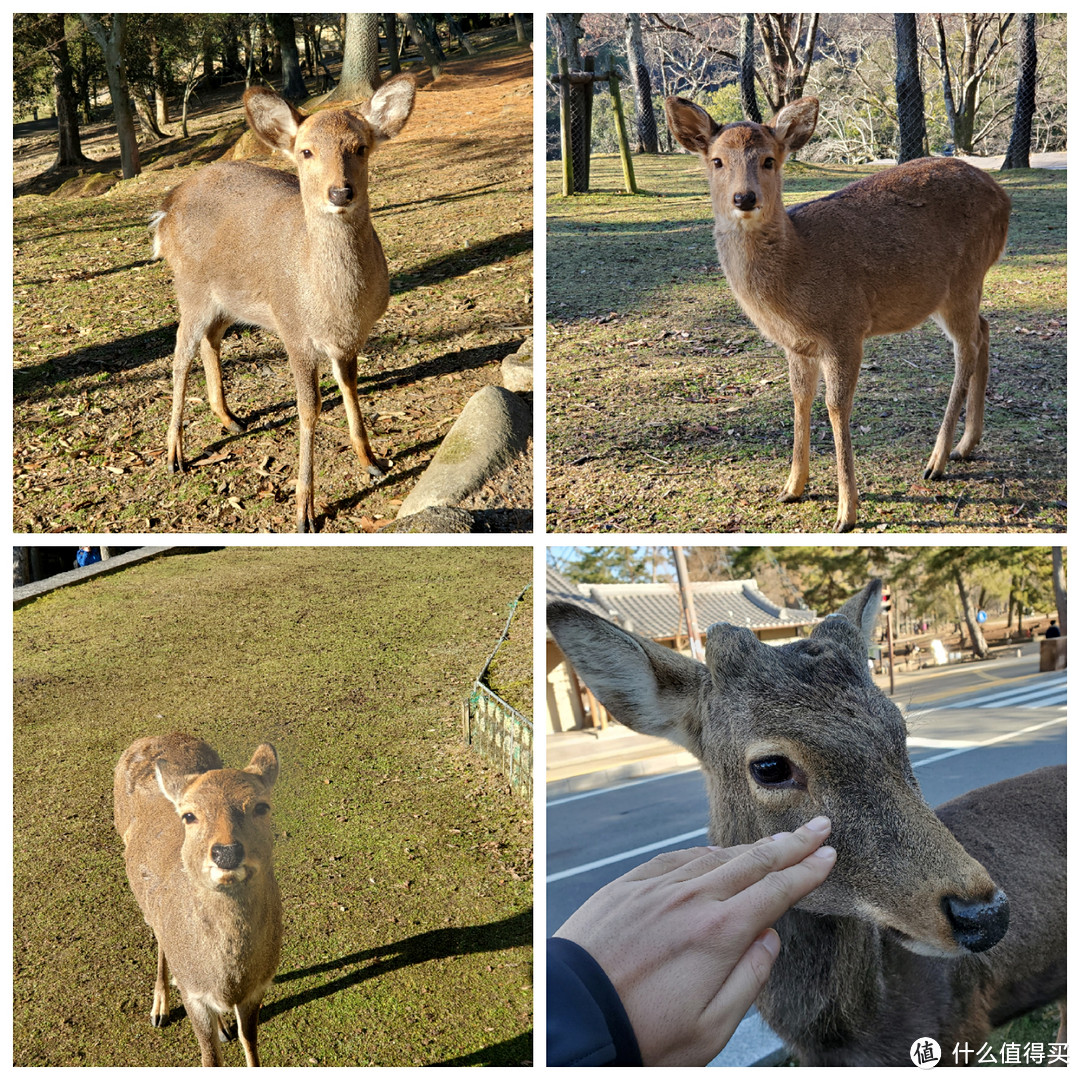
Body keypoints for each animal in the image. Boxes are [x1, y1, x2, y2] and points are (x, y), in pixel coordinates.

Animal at [113, 730, 282, 1067]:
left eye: (261, 807)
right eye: (189, 815)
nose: (226, 852)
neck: (231, 981)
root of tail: (155, 736)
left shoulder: (258, 986)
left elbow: (250, 1040)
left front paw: (232, 1032)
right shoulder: (193, 995)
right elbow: (209, 1057)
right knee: (159, 938)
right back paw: (160, 1010)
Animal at [152, 76, 416, 531]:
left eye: (360, 147)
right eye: (306, 151)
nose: (340, 192)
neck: (336, 306)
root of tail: (165, 209)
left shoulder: (349, 341)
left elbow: (351, 389)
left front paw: (372, 460)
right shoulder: (294, 331)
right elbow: (309, 410)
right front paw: (305, 511)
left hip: (228, 300)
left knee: (210, 340)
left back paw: (229, 417)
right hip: (190, 288)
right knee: (179, 354)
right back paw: (174, 455)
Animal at [665, 95, 1010, 533]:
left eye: (768, 160)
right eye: (717, 161)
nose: (744, 198)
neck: (798, 267)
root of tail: (1004, 200)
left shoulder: (846, 329)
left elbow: (835, 406)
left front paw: (847, 513)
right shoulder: (797, 345)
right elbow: (799, 398)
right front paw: (791, 488)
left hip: (964, 279)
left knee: (966, 347)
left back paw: (937, 461)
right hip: (951, 292)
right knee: (984, 328)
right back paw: (967, 444)